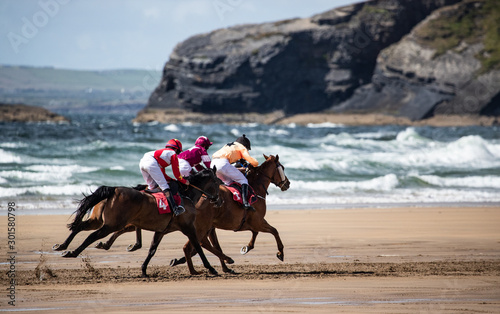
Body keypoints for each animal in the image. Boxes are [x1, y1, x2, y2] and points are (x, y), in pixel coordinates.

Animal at [57, 168, 220, 276]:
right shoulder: (188, 228)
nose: (219, 200)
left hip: (98, 221)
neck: (186, 195)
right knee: (92, 236)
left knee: (79, 226)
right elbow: (198, 247)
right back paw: (73, 252)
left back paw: (63, 246)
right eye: (218, 182)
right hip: (112, 224)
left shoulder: (161, 231)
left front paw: (143, 270)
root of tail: (114, 189)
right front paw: (211, 268)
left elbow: (152, 249)